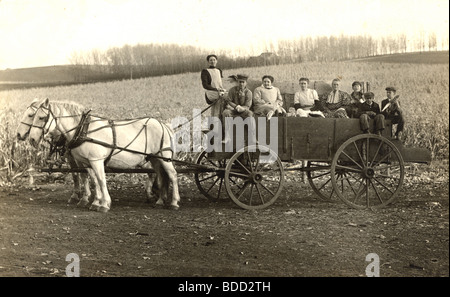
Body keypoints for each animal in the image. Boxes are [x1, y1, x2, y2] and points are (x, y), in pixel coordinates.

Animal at [27, 98, 179, 212]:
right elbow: (94, 180)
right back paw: (160, 201)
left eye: (41, 117)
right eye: (32, 117)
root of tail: (163, 125)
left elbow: (101, 180)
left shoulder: (96, 160)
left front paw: (104, 204)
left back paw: (174, 202)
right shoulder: (87, 162)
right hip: (155, 158)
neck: (84, 129)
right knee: (161, 175)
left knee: (172, 174)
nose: (32, 139)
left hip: (164, 156)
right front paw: (96, 202)